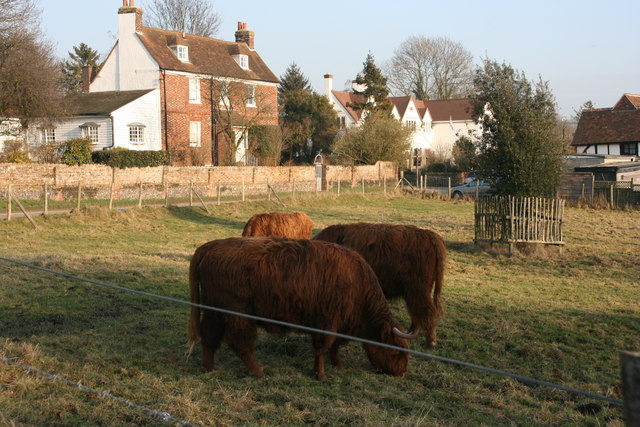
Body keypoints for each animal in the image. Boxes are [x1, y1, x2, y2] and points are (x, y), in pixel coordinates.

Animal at [188, 237, 408, 382]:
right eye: (396, 351)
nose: (401, 372)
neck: (357, 282)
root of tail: (209, 247)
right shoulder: (325, 323)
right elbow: (322, 347)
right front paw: (320, 374)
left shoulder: (338, 324)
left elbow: (334, 345)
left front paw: (338, 365)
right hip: (238, 314)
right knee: (240, 343)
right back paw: (258, 372)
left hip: (214, 311)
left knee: (209, 337)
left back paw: (208, 368)